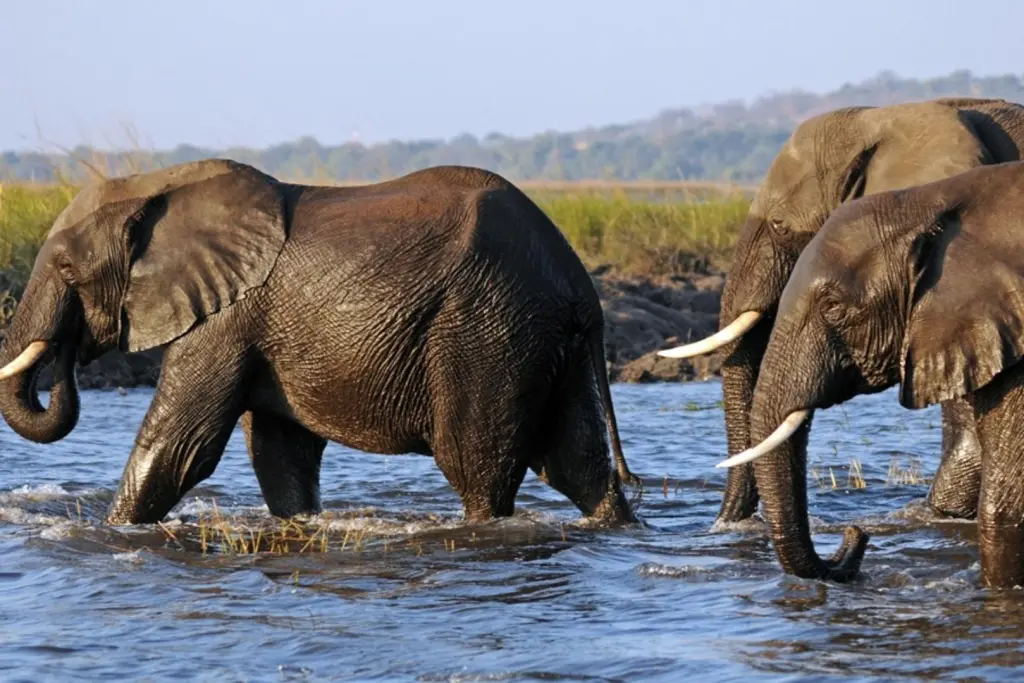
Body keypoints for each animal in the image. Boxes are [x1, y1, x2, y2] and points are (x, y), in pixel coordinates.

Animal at [0, 159, 640, 526]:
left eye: (65, 268)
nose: (66, 355)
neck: (157, 186)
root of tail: (580, 283)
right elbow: (279, 453)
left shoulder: (227, 317)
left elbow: (179, 446)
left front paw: (108, 535)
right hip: (544, 338)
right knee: (577, 464)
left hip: (489, 329)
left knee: (476, 466)